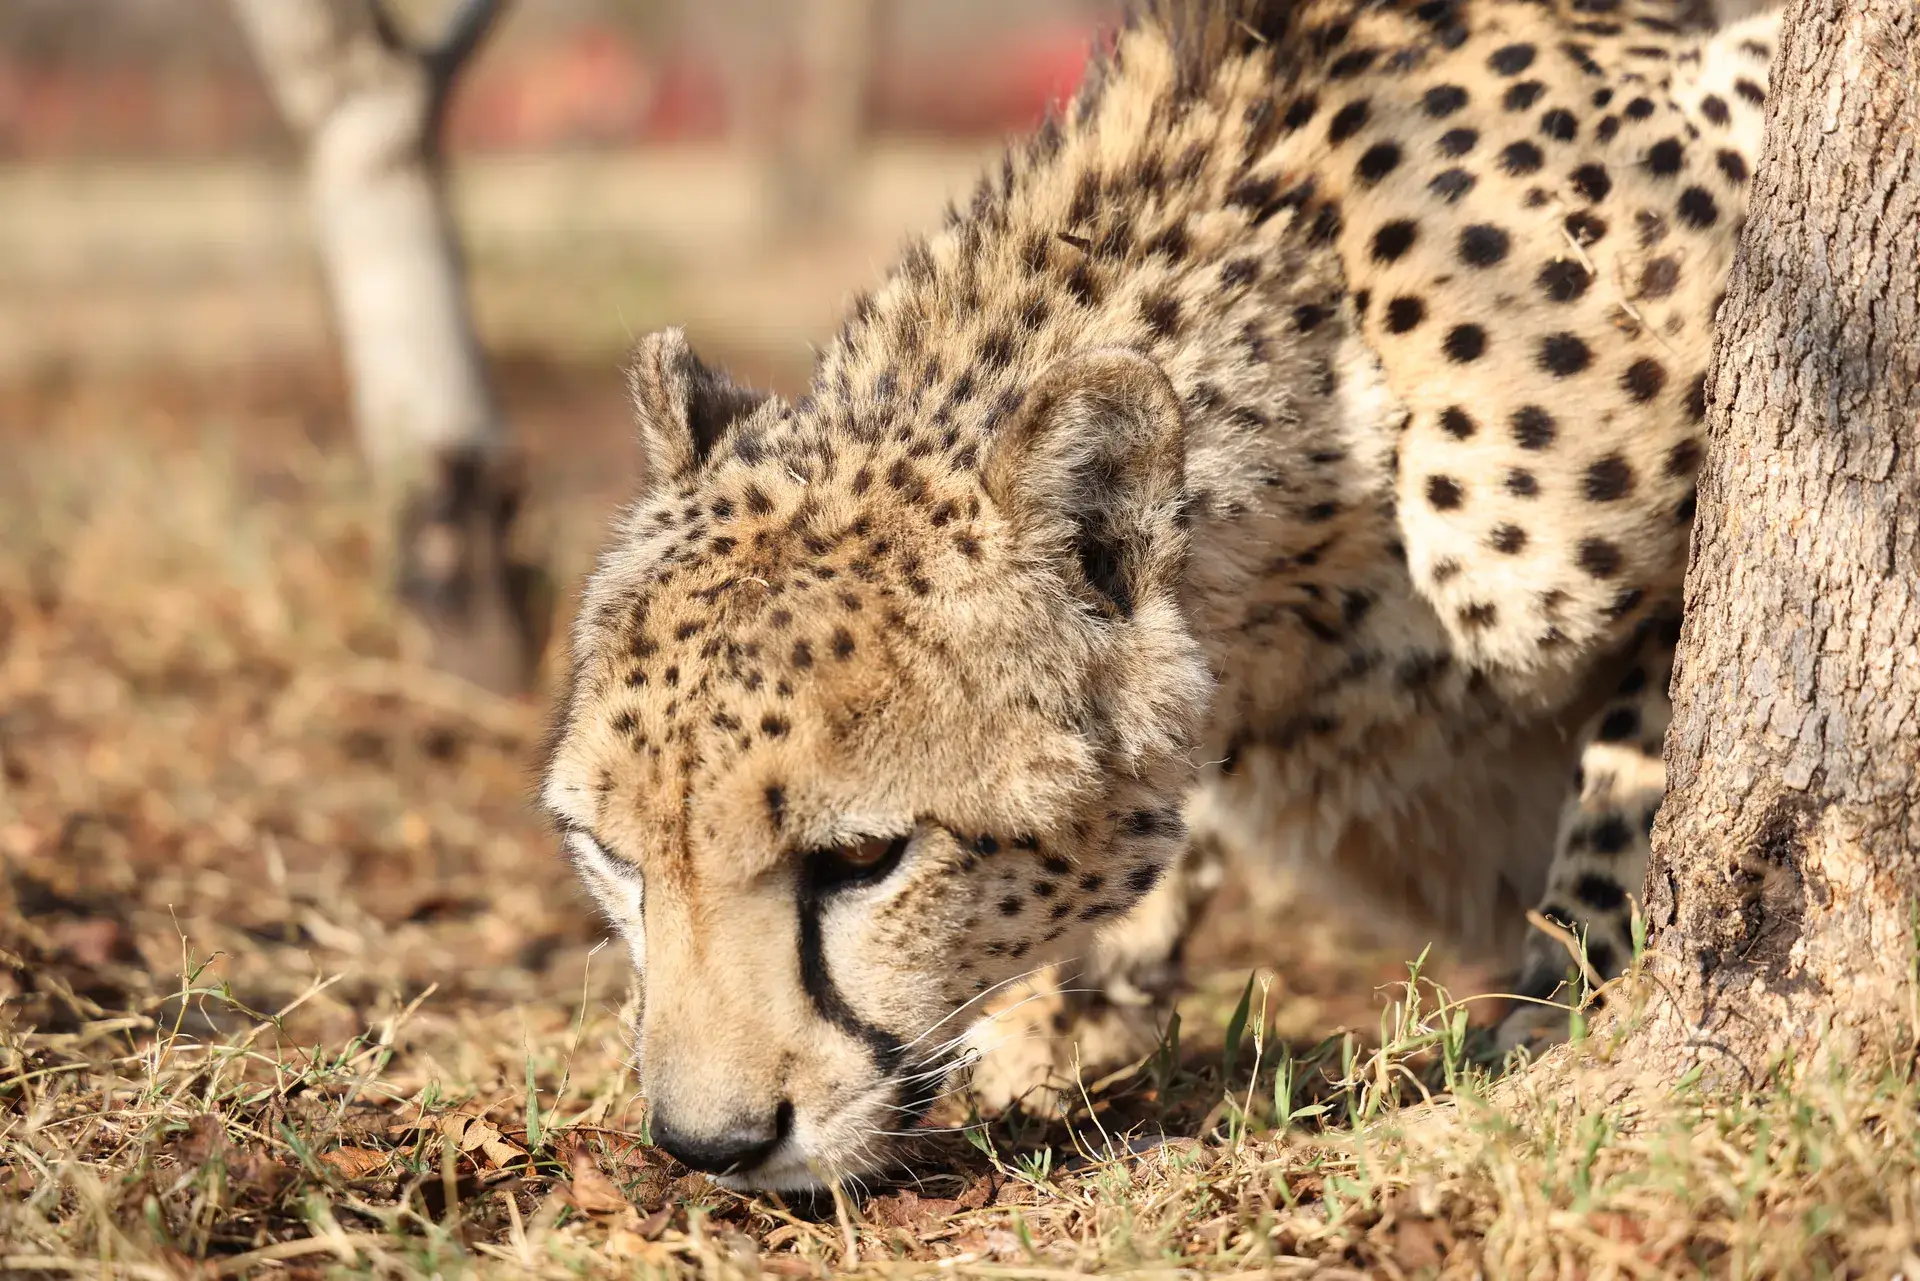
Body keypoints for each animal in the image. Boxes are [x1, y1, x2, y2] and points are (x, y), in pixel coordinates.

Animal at [542, 0, 1778, 1190]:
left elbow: (1644, 776)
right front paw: (1051, 1017)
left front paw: (1564, 1013)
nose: (708, 1145)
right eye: (612, 852)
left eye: (860, 860)